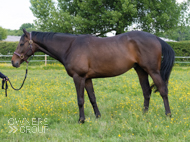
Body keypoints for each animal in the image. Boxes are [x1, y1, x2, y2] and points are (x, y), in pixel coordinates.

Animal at [11, 29, 174, 123]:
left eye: (21, 44)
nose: (14, 62)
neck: (70, 46)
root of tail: (156, 38)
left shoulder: (79, 77)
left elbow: (80, 100)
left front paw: (81, 120)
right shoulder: (87, 78)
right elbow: (92, 98)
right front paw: (98, 117)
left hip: (153, 71)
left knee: (163, 91)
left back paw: (168, 115)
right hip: (141, 70)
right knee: (146, 92)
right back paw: (144, 114)